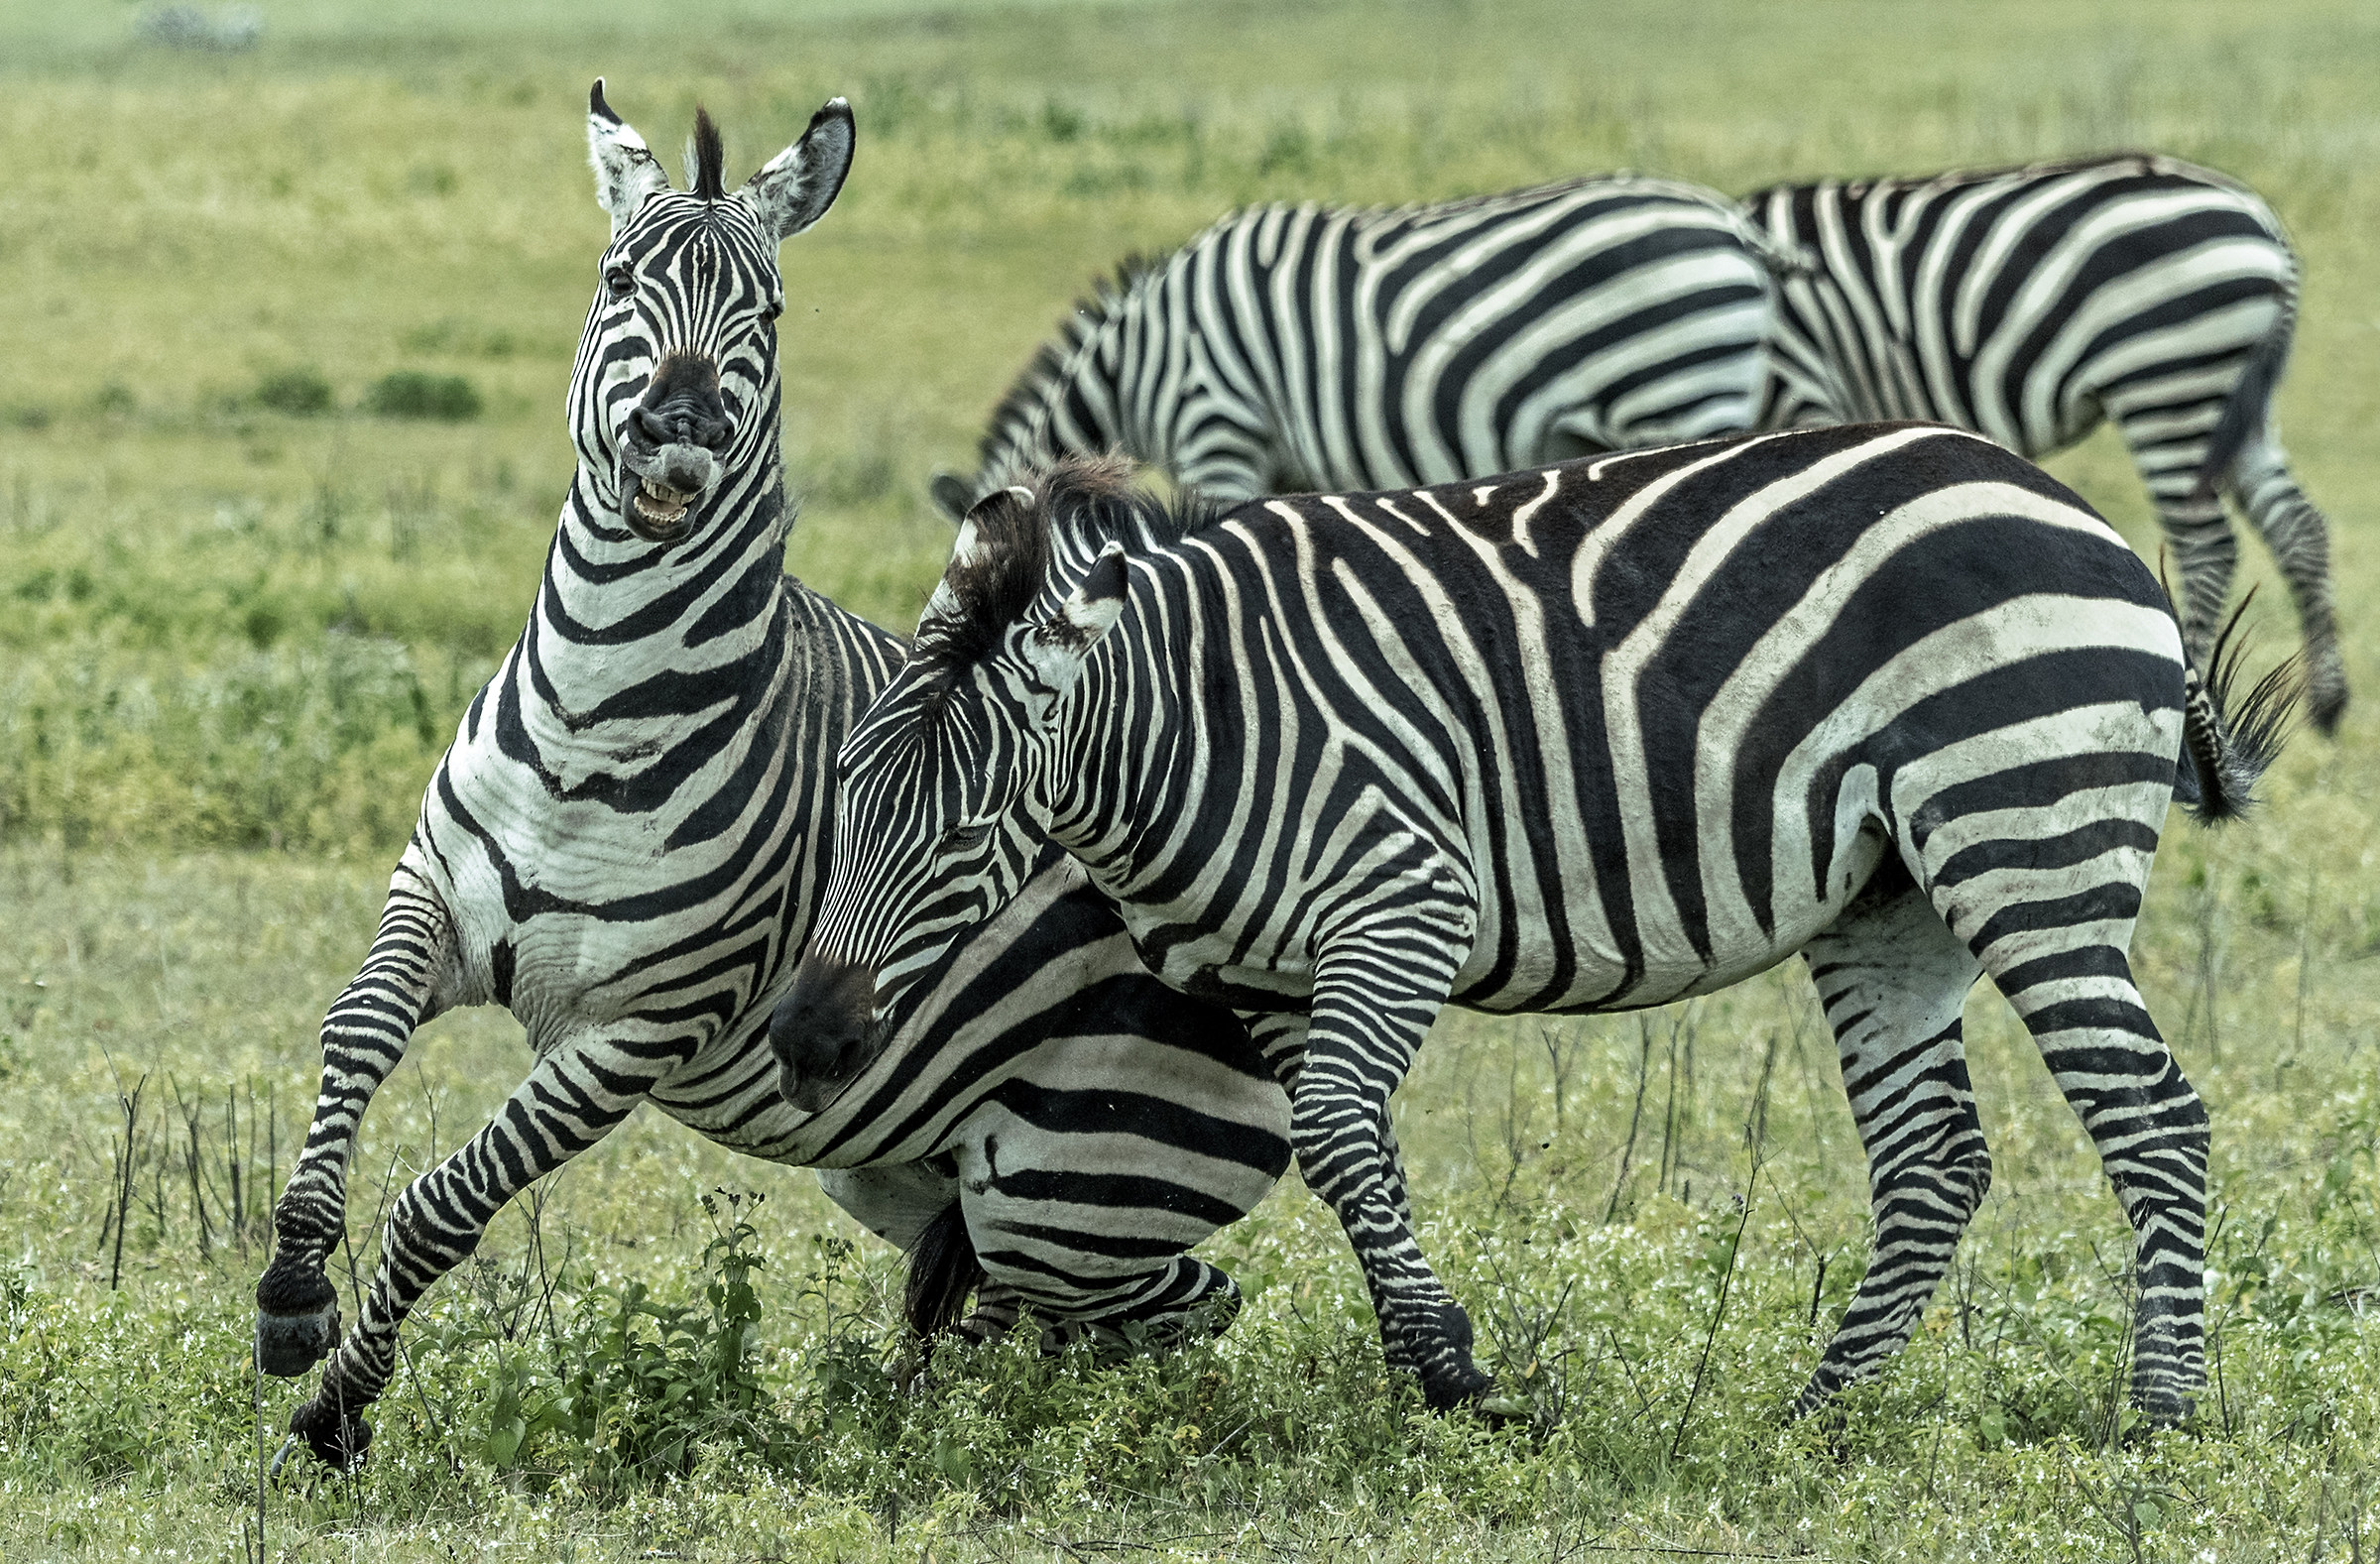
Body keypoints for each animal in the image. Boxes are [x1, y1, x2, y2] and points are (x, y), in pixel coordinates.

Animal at [252, 85, 1288, 1470]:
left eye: (771, 311)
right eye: (617, 277)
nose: (681, 431)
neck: (595, 713)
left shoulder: (643, 1026)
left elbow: (444, 1201)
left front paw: (337, 1414)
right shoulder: (434, 903)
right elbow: (352, 1028)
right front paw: (293, 1285)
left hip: (1072, 1186)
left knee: (1170, 1299)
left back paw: (993, 1423)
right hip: (913, 1171)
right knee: (1072, 1301)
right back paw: (927, 1409)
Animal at [782, 431, 2295, 1423]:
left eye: (967, 834)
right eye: (841, 791)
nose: (806, 1042)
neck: (1190, 729)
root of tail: (2073, 506)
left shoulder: (1406, 900)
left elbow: (1338, 1136)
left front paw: (1456, 1376)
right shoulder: (1269, 973)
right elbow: (1342, 1150)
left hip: (2025, 836)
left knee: (2156, 1117)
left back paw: (2157, 1415)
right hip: (1892, 902)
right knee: (1937, 1159)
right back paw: (1819, 1409)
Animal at [1744, 152, 2347, 733]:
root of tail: (2261, 218)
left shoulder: (1801, 389)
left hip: (2167, 382)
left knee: (2207, 545)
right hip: (2234, 403)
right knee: (2298, 526)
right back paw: (2328, 704)